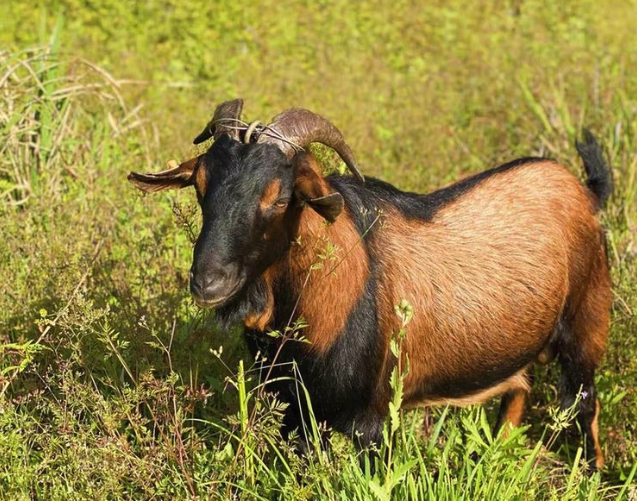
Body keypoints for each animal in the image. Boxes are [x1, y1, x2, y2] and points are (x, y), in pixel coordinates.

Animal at [128, 98, 612, 468]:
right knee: (518, 392)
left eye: (281, 197)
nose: (208, 281)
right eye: (200, 185)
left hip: (586, 324)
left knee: (584, 403)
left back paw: (591, 474)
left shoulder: (372, 423)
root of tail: (584, 191)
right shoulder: (296, 414)